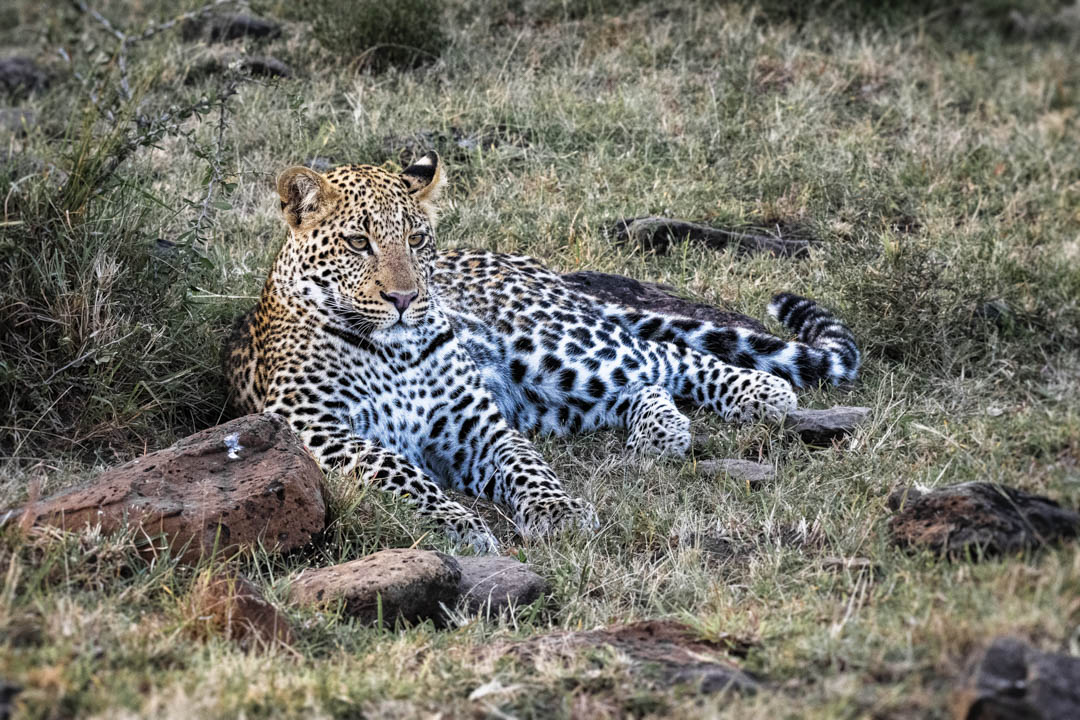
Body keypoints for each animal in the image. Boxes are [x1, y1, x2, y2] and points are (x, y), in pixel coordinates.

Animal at [224, 152, 860, 552]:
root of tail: (529, 264)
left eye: (416, 239)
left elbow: (525, 465)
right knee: (642, 383)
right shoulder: (318, 429)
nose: (405, 298)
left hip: (554, 347)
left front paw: (559, 512)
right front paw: (456, 524)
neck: (394, 353)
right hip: (548, 395)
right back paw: (665, 432)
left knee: (662, 354)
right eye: (358, 242)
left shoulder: (474, 423)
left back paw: (761, 393)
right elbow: (396, 470)